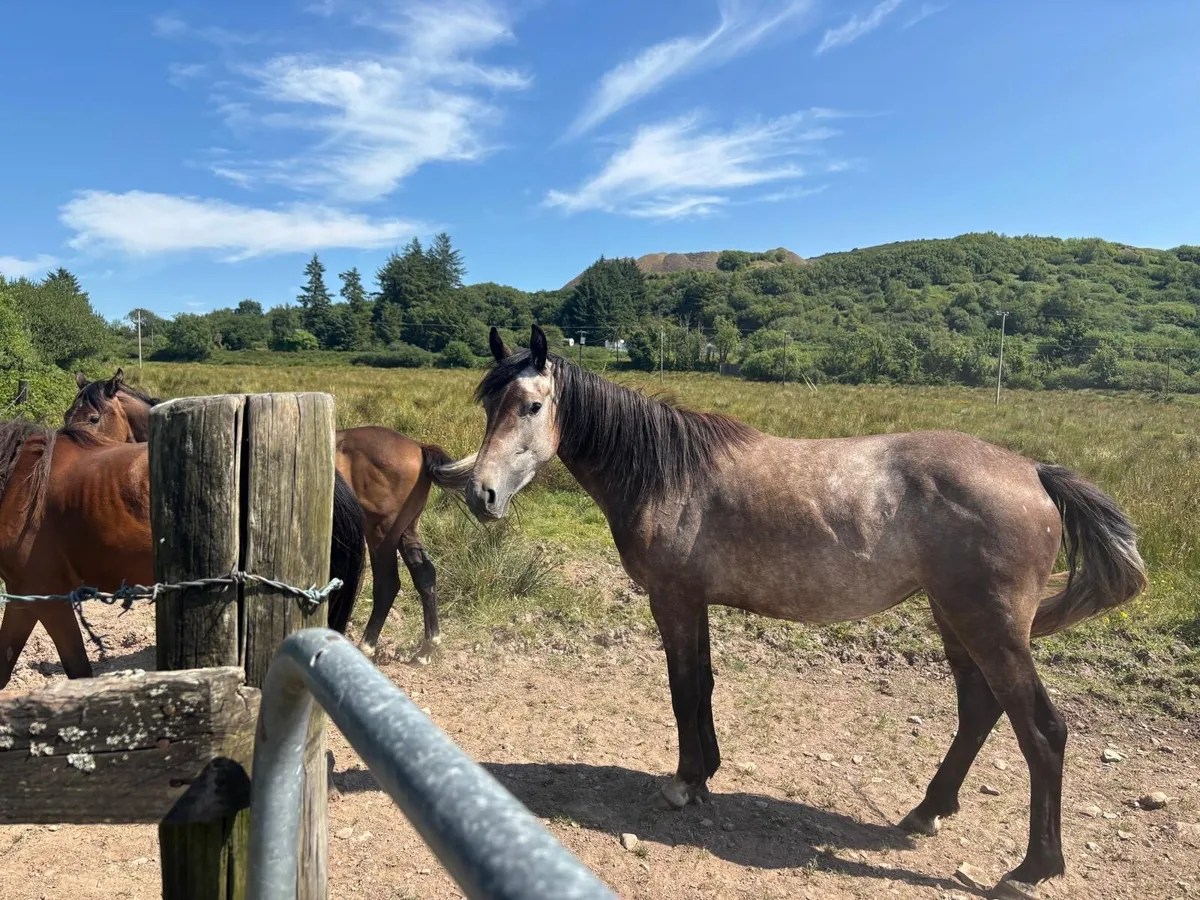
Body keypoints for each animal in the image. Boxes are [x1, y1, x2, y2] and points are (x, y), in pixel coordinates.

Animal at [67, 369, 470, 663]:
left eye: (93, 416)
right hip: (405, 530)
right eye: (70, 413)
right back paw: (427, 648)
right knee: (423, 575)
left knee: (388, 583)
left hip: (382, 533)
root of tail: (417, 446)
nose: (70, 443)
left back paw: (368, 645)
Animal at [449, 324, 1148, 898]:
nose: (482, 496)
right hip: (956, 620)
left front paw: (684, 782)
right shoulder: (695, 603)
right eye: (487, 405)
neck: (669, 475)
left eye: (531, 406)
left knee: (1042, 733)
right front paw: (706, 772)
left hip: (992, 629)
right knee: (979, 710)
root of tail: (1033, 471)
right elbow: (703, 686)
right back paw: (928, 810)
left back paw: (1032, 869)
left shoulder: (673, 599)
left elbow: (683, 689)